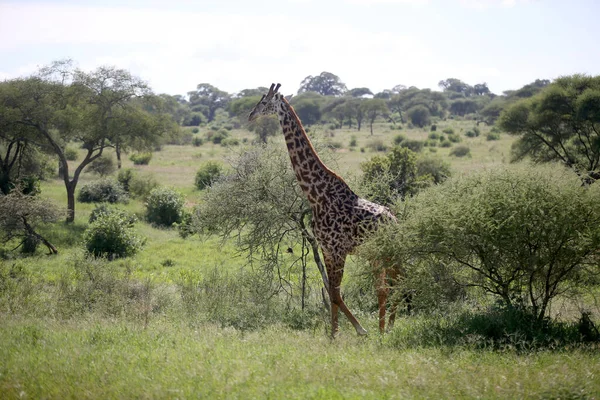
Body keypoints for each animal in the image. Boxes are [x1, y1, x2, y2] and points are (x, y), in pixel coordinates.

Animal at [251, 84, 400, 338]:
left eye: (264, 102)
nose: (251, 115)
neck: (316, 196)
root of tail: (395, 220)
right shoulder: (326, 249)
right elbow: (332, 294)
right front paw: (333, 334)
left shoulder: (338, 249)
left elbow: (336, 294)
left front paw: (359, 329)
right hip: (375, 254)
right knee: (385, 287)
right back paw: (383, 328)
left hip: (386, 252)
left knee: (394, 283)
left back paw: (387, 328)